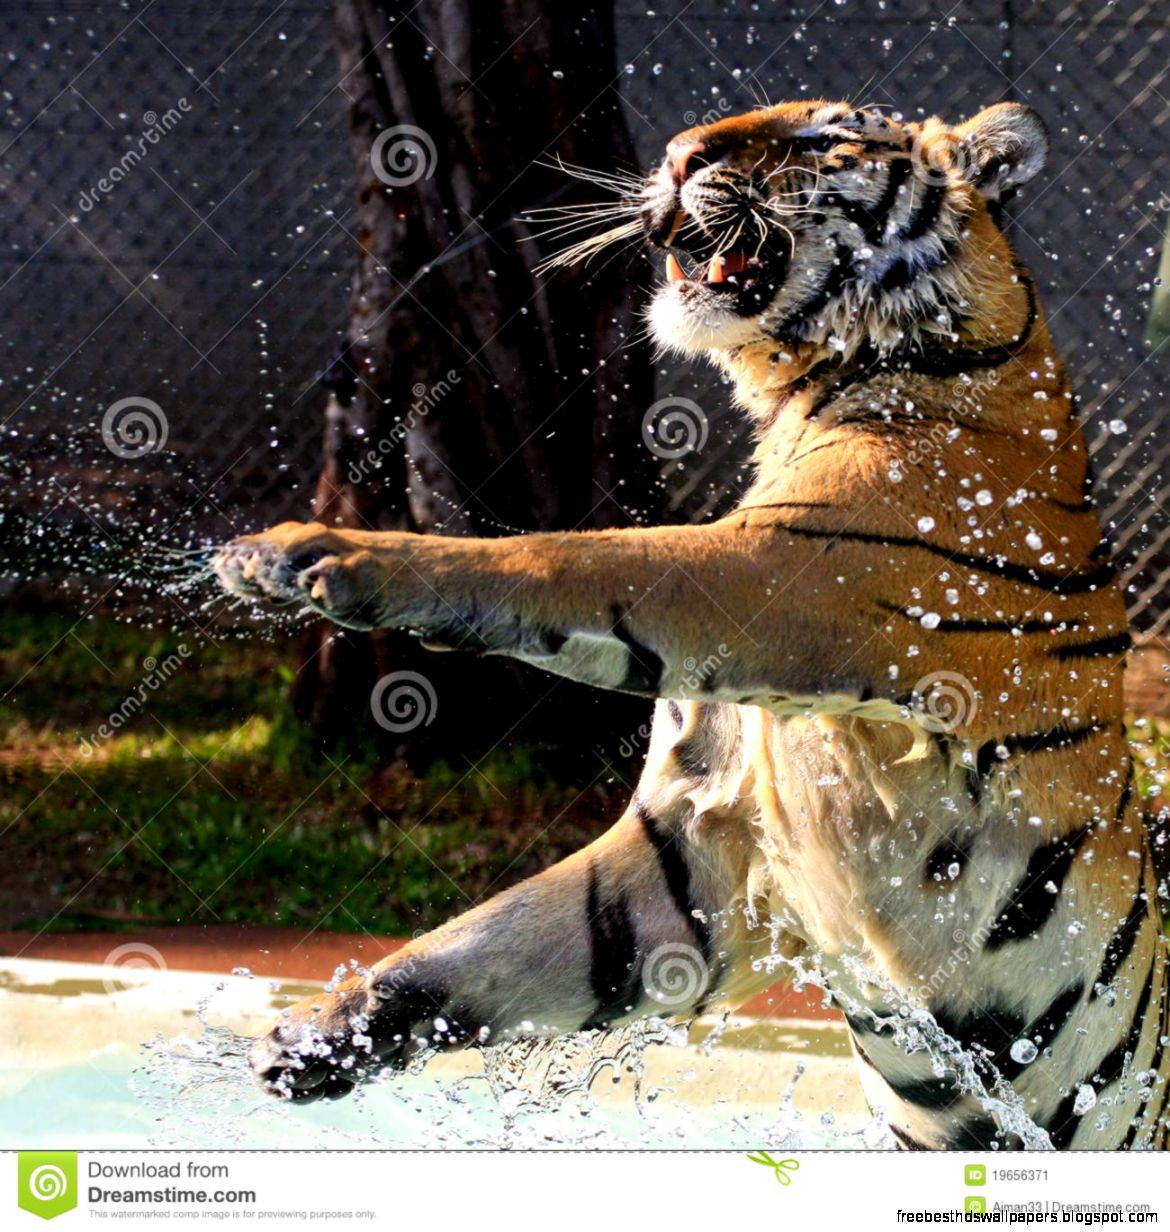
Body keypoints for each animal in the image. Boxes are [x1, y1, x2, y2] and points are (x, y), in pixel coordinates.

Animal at [214, 99, 1170, 1150]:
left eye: (819, 138)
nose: (674, 157)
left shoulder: (781, 575)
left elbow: (564, 559)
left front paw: (307, 555)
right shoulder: (701, 845)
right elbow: (506, 937)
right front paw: (319, 1033)